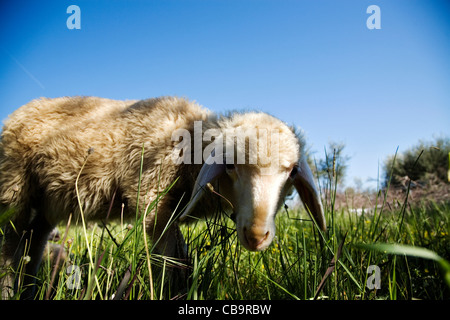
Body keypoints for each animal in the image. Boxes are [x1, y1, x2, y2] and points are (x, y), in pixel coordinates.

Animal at [0, 96, 324, 298]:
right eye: (230, 165)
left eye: (293, 170)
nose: (257, 234)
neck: (189, 148)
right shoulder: (153, 200)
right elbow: (171, 263)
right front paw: (171, 293)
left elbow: (182, 260)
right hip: (13, 189)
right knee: (10, 246)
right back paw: (9, 289)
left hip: (46, 203)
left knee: (32, 241)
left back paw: (28, 290)